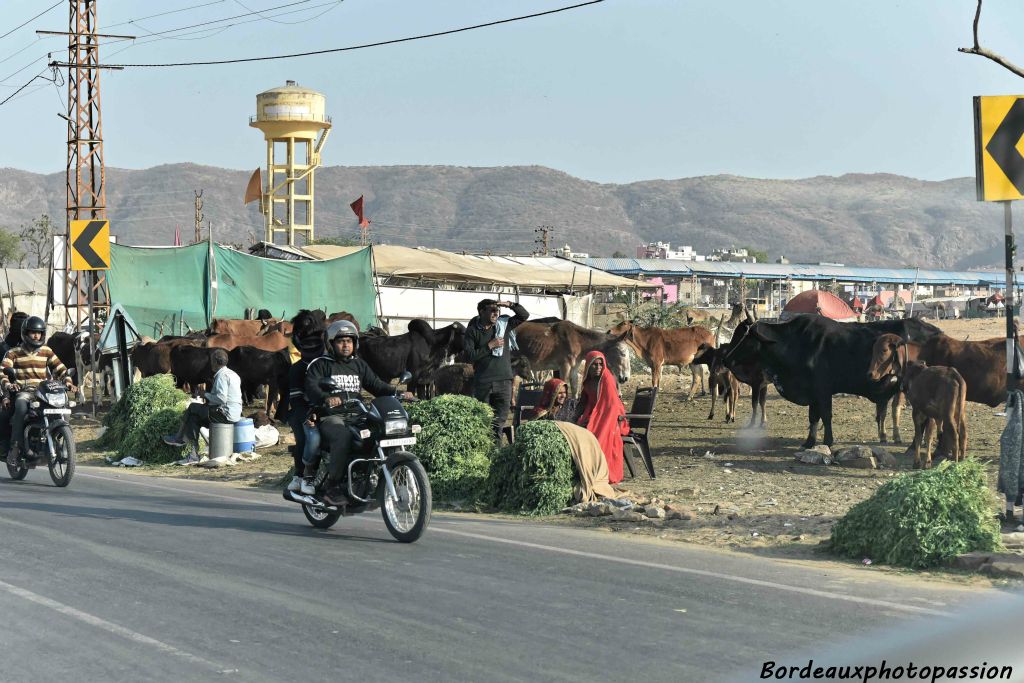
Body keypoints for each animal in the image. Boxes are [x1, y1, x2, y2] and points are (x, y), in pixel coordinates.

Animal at [724, 315, 937, 448]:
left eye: (742, 336)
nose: (727, 358)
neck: (795, 342)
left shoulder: (823, 390)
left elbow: (826, 416)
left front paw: (828, 441)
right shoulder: (813, 393)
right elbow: (813, 417)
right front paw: (809, 442)